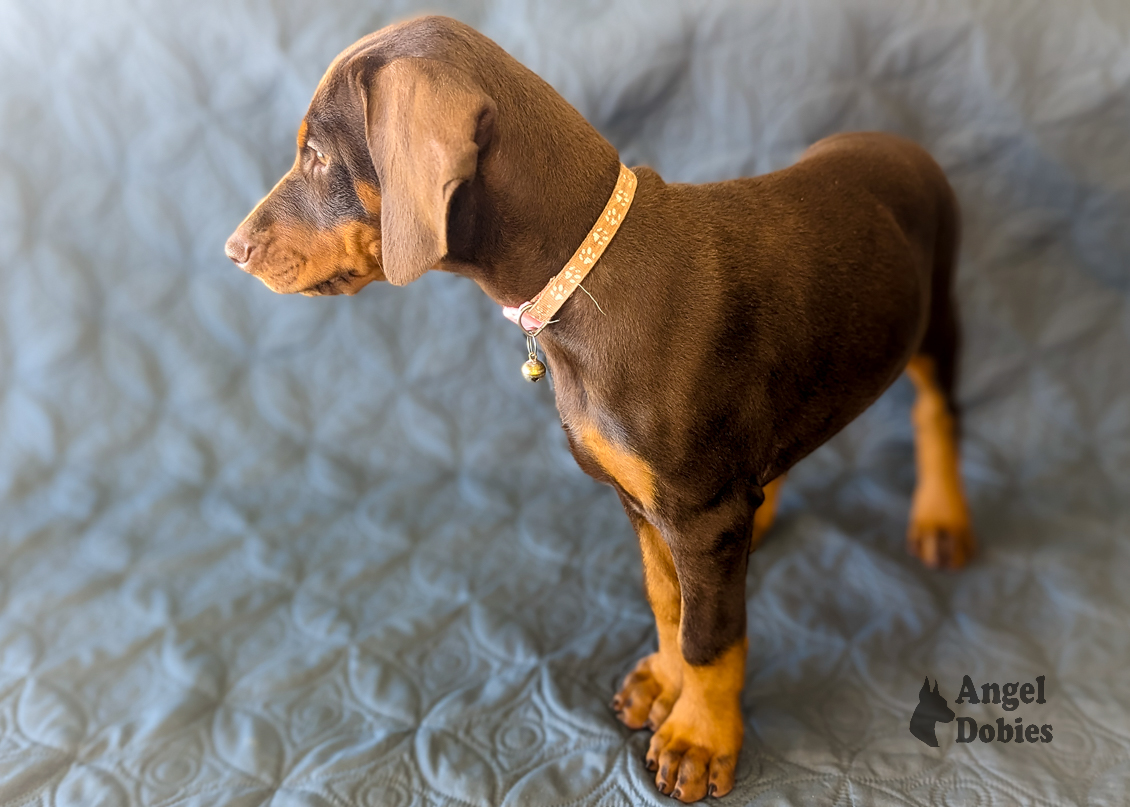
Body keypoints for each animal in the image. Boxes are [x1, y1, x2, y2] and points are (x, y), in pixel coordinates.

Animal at [224, 14, 976, 800]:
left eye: (317, 157)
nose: (231, 250)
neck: (587, 273)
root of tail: (903, 141)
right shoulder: (644, 502)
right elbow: (669, 601)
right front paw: (667, 682)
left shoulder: (698, 514)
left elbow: (711, 634)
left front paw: (701, 736)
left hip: (937, 315)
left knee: (937, 413)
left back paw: (941, 516)